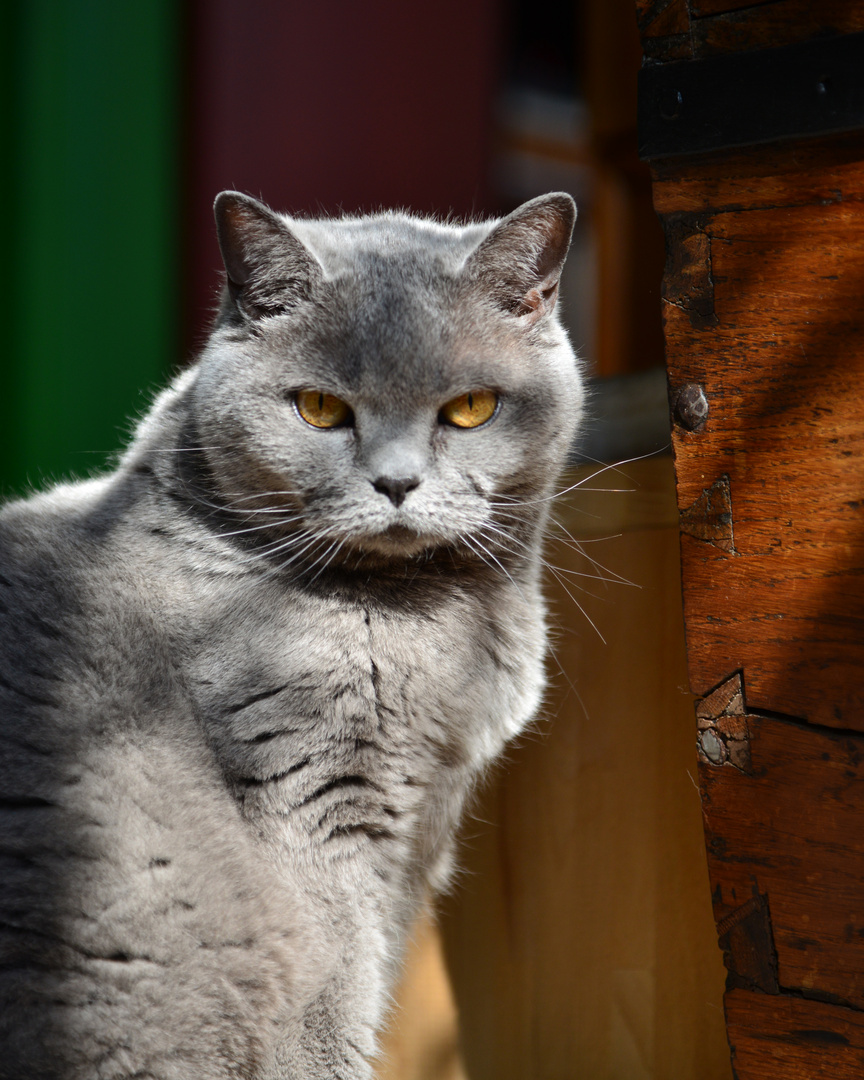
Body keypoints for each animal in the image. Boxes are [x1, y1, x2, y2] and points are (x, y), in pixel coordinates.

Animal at [0, 190, 583, 1075]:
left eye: (470, 409)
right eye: (320, 409)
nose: (397, 482)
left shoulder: (418, 831)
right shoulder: (310, 795)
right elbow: (335, 996)